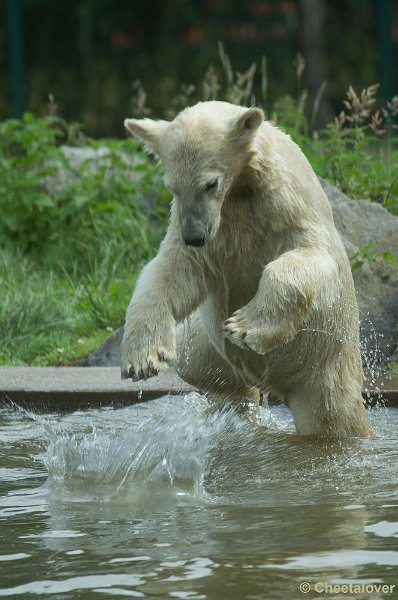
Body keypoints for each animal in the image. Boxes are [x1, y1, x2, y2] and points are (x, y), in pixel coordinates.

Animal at [120, 102, 374, 436]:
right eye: (171, 186)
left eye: (210, 183)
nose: (194, 236)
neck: (241, 189)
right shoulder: (209, 236)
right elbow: (173, 271)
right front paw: (143, 360)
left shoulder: (286, 207)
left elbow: (311, 258)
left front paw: (243, 327)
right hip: (210, 347)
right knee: (204, 368)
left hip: (325, 364)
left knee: (333, 418)